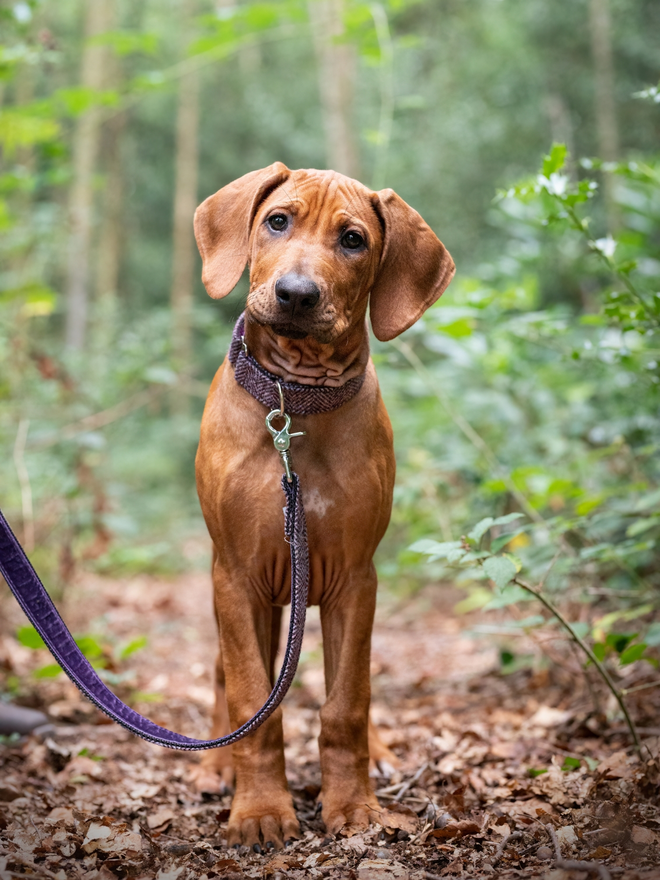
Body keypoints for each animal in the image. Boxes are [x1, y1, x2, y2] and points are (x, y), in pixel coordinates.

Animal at [188, 162, 452, 848]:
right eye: (278, 220)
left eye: (353, 240)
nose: (297, 294)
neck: (296, 403)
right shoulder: (237, 576)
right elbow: (252, 700)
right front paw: (258, 810)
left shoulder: (354, 578)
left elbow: (346, 703)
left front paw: (354, 807)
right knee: (226, 678)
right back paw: (215, 766)